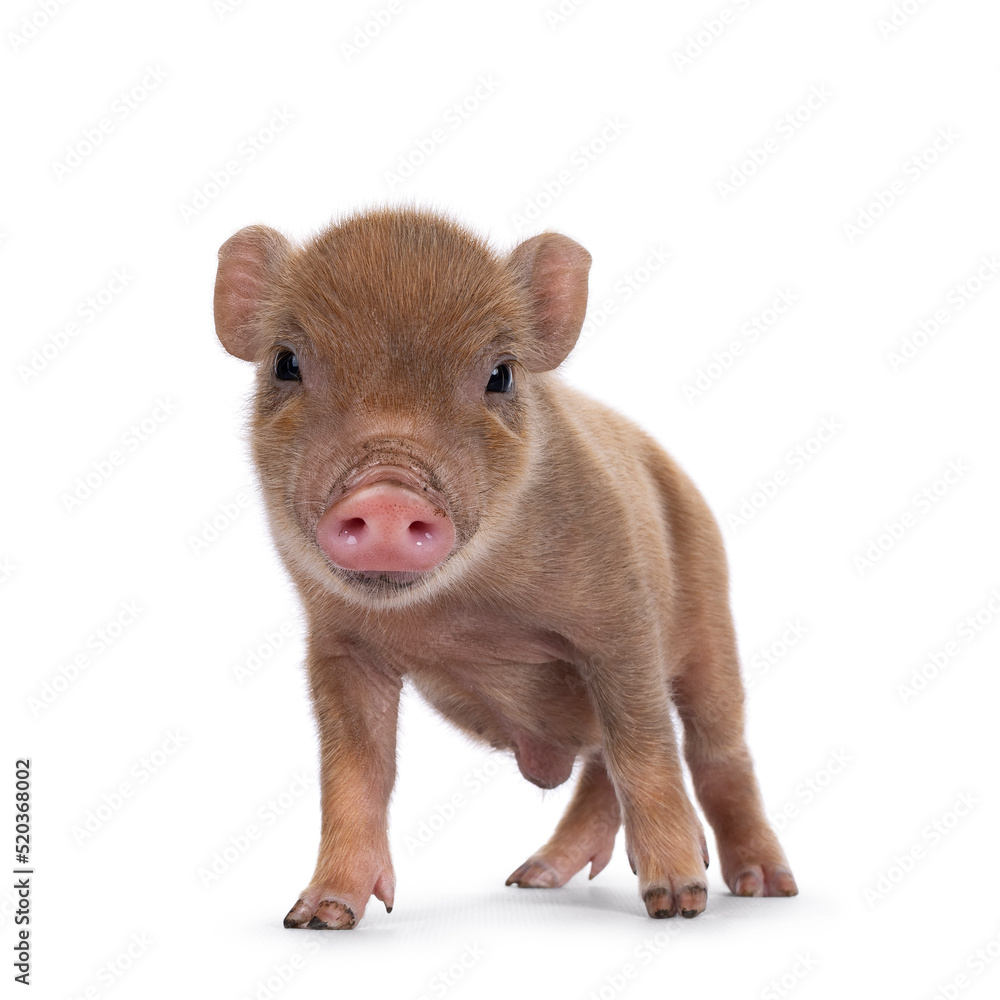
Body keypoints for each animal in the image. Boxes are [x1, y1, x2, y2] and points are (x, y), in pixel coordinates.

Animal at [213, 207, 798, 929]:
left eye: (501, 374)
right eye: (286, 362)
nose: (387, 496)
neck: (462, 613)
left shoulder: (622, 621)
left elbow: (646, 748)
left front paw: (679, 903)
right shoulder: (339, 648)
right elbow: (354, 776)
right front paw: (317, 918)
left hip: (713, 622)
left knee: (716, 752)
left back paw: (762, 887)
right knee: (600, 768)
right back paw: (532, 878)